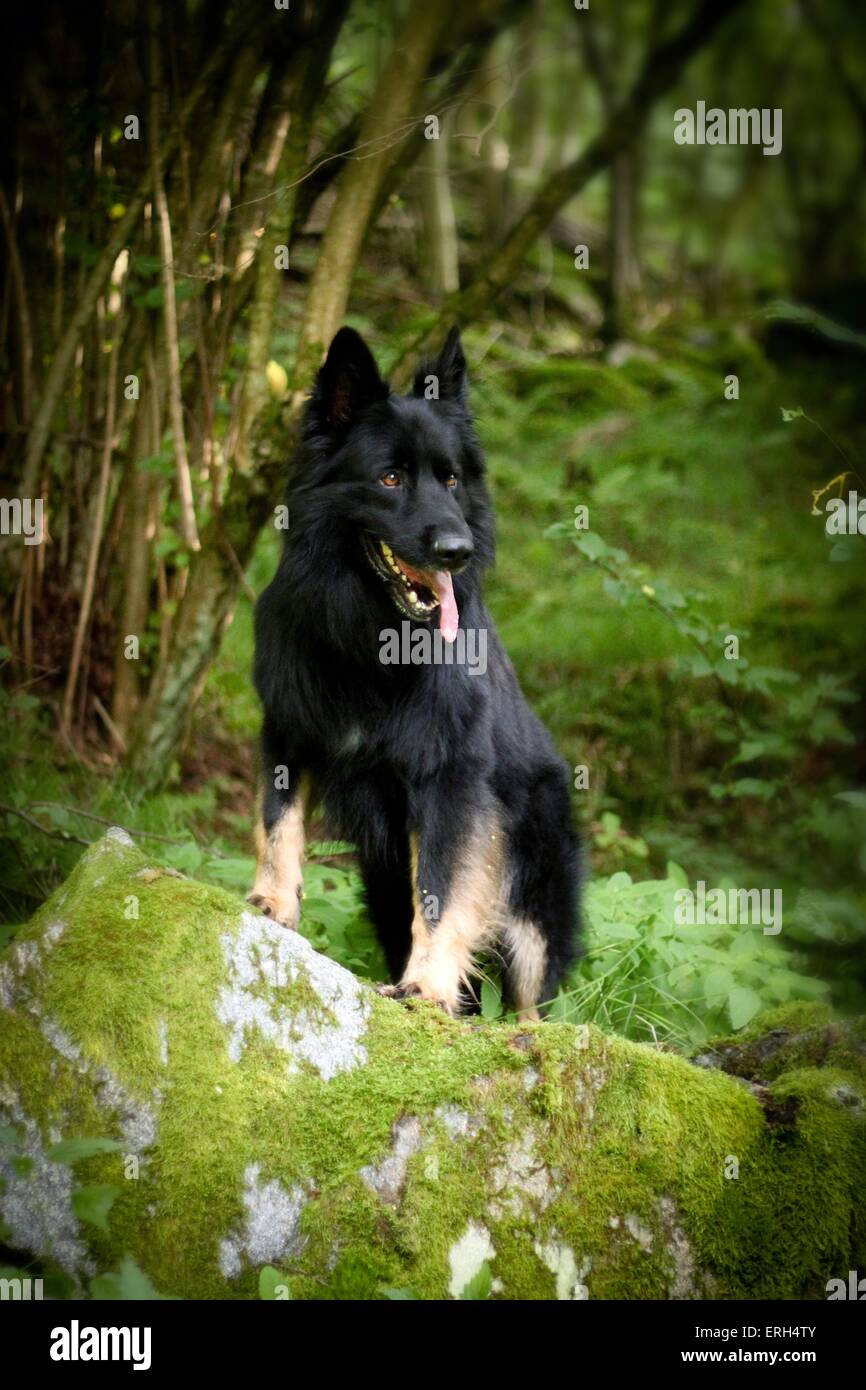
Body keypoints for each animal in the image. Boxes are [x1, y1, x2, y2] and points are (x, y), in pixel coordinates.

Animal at [247, 326, 578, 1023]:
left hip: (532, 903)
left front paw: (425, 987)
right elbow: (277, 822)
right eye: (390, 477)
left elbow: (443, 889)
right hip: (380, 881)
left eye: (450, 480)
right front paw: (274, 904)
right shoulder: (288, 728)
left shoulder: (449, 780)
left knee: (530, 1000)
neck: (374, 640)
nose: (459, 551)